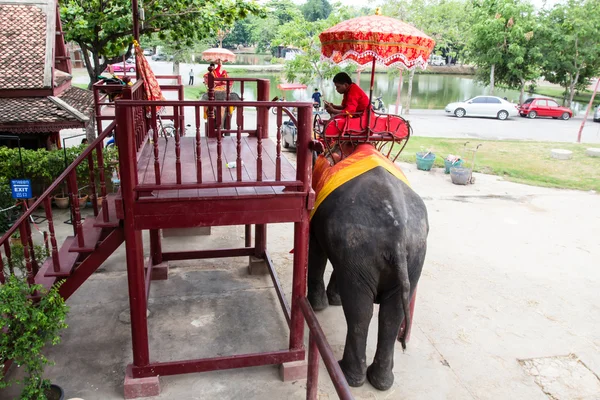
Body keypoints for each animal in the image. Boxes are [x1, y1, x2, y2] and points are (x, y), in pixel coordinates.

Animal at [308, 146, 428, 390]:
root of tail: (397, 234)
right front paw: (332, 301)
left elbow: (317, 252)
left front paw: (319, 306)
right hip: (413, 255)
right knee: (392, 313)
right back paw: (381, 382)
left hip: (363, 246)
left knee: (360, 310)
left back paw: (349, 376)